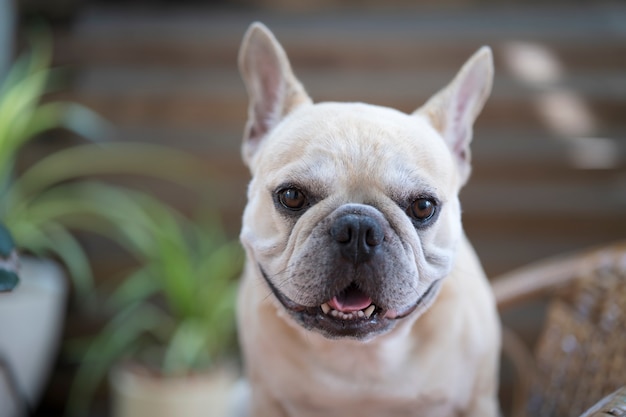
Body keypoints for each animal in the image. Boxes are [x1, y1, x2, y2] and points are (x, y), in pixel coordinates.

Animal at [235, 22, 502, 416]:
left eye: (423, 207)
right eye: (291, 196)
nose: (358, 228)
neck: (361, 358)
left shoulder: (479, 400)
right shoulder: (264, 399)